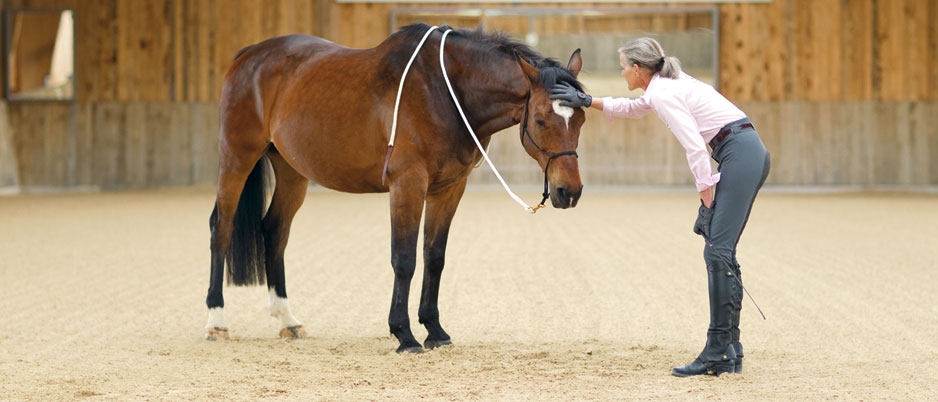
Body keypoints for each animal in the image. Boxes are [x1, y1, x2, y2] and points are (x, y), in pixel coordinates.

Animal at [206, 23, 584, 354]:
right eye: (540, 120)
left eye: (580, 118)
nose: (570, 191)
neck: (445, 91)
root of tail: (249, 54)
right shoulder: (408, 184)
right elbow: (404, 259)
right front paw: (404, 334)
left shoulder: (449, 188)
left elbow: (434, 257)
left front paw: (434, 330)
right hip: (236, 160)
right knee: (221, 229)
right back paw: (216, 320)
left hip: (292, 171)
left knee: (275, 231)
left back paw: (287, 319)